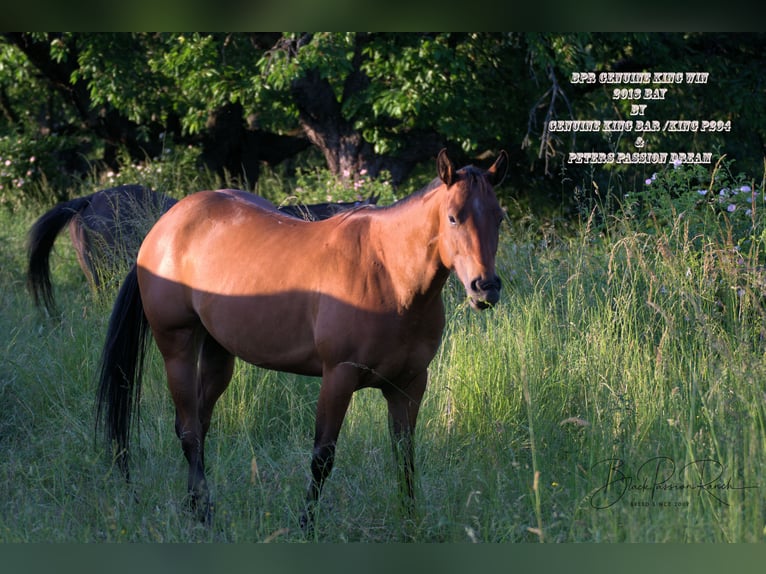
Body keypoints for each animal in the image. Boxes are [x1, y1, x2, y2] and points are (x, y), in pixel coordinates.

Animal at [96, 150, 510, 532]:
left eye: (499, 217)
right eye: (453, 217)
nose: (485, 288)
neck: (389, 275)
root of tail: (165, 226)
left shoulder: (409, 384)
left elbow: (404, 456)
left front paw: (411, 525)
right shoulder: (338, 376)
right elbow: (322, 457)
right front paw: (306, 525)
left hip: (218, 353)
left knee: (199, 422)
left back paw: (194, 506)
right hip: (177, 346)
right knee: (188, 430)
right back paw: (205, 513)